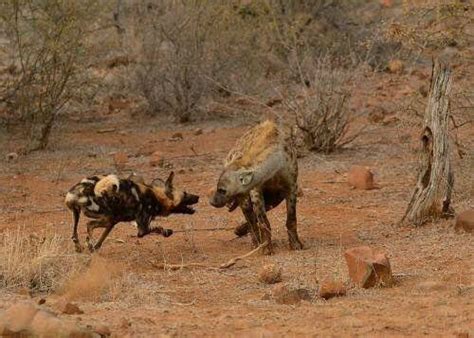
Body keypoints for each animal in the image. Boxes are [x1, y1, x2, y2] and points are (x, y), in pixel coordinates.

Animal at [65, 173, 198, 252]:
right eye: (185, 194)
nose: (198, 197)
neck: (156, 197)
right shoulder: (142, 228)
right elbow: (153, 230)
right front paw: (166, 232)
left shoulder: (112, 222)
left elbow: (101, 240)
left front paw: (95, 248)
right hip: (105, 216)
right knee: (89, 225)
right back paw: (88, 245)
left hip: (84, 214)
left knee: (75, 233)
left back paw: (82, 247)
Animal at [209, 120, 302, 255]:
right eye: (218, 188)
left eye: (222, 190)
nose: (211, 201)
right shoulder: (256, 190)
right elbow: (263, 221)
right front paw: (266, 248)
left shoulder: (291, 184)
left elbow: (291, 217)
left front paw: (296, 244)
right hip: (247, 198)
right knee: (251, 217)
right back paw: (255, 243)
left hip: (276, 197)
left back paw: (242, 231)